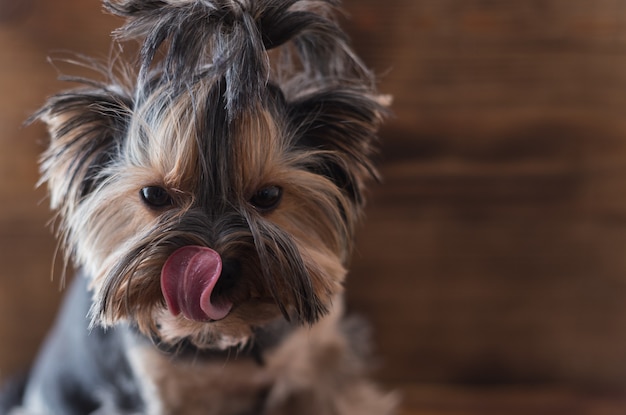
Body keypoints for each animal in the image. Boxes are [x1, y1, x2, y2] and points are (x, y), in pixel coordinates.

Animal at [2, 1, 394, 414]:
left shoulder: (316, 357)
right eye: (154, 195)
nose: (218, 270)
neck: (223, 338)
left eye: (268, 196)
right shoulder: (156, 383)